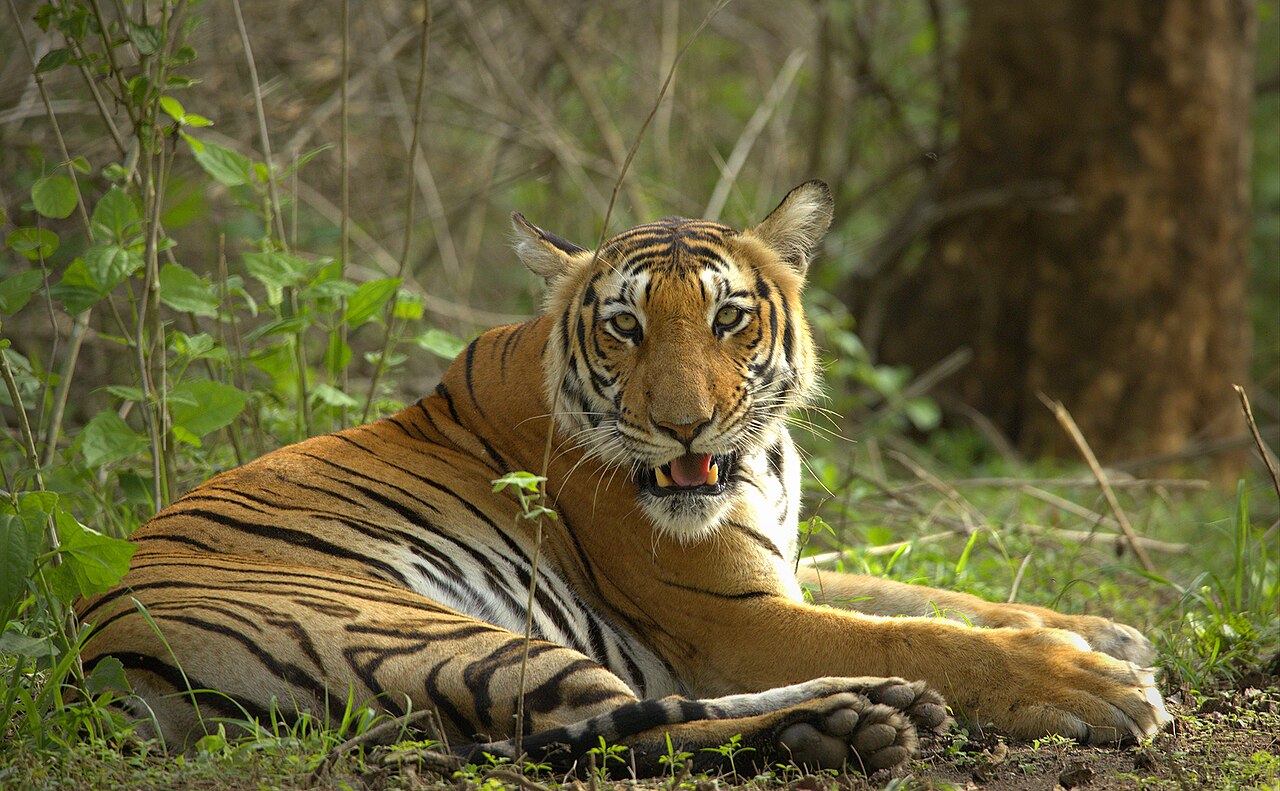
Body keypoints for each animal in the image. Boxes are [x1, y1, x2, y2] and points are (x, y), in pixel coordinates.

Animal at [76, 181, 1170, 776]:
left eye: (728, 318)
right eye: (626, 326)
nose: (683, 422)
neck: (757, 462)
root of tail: (96, 664)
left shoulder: (782, 565)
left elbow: (925, 594)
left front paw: (1102, 630)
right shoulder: (732, 616)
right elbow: (925, 632)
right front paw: (1096, 683)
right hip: (417, 627)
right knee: (612, 727)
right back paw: (849, 718)